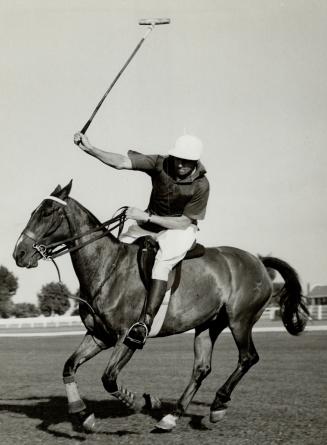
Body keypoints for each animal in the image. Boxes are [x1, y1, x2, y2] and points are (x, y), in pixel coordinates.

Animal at [13, 180, 310, 430]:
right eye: (34, 211)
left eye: (47, 212)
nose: (19, 253)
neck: (107, 268)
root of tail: (258, 260)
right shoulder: (99, 336)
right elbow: (69, 366)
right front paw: (83, 414)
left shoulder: (127, 337)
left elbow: (109, 378)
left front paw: (143, 401)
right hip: (209, 325)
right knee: (201, 368)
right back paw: (173, 415)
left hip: (240, 320)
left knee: (248, 357)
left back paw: (217, 405)